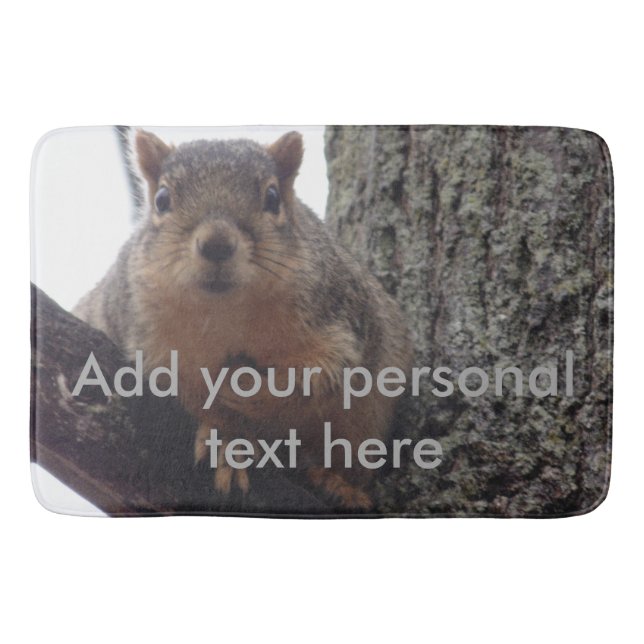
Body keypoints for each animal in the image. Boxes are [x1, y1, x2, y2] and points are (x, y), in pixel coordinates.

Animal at [73, 129, 412, 509]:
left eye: (273, 197)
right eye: (161, 199)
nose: (217, 244)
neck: (226, 311)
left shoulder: (339, 319)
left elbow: (318, 377)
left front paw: (246, 386)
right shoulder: (150, 339)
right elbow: (189, 394)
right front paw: (227, 439)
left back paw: (335, 482)